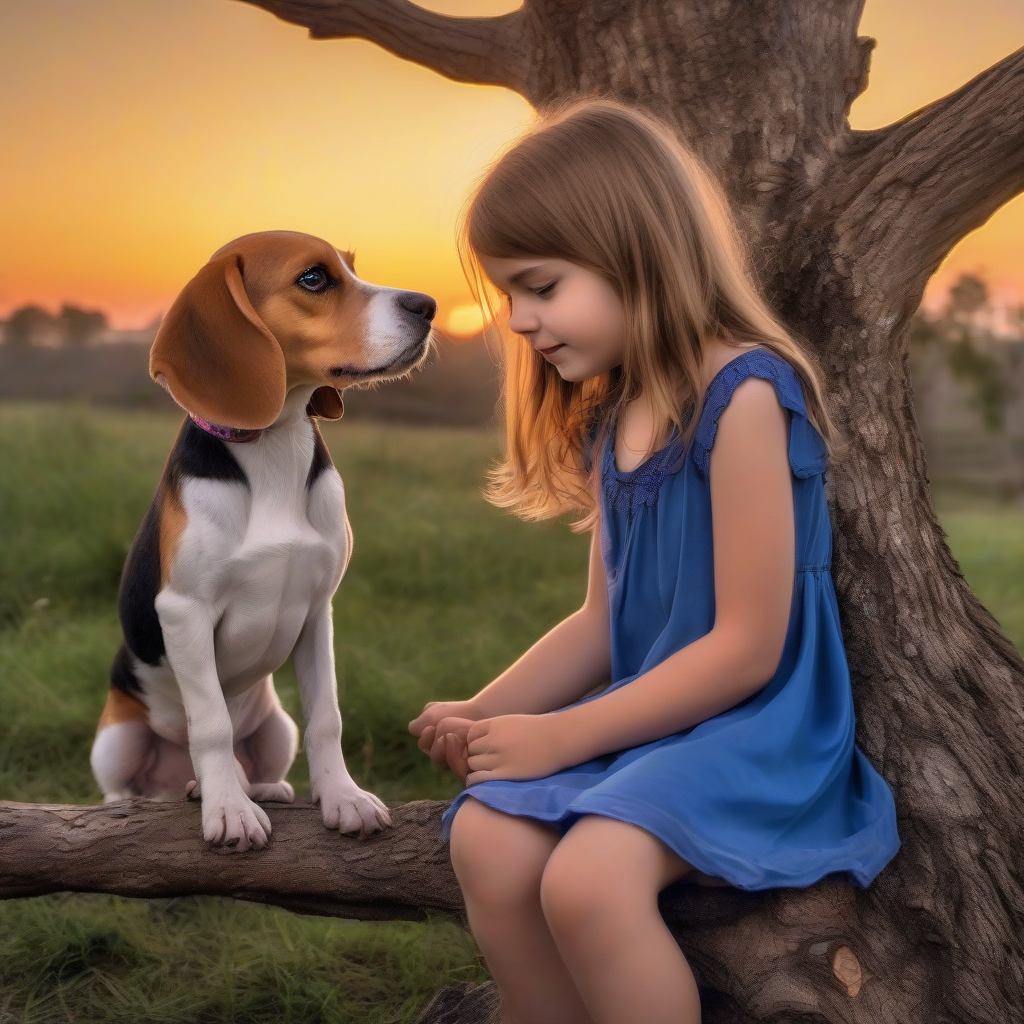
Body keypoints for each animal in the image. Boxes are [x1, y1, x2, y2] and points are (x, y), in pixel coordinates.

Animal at [89, 230, 436, 847]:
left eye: (352, 267)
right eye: (314, 278)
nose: (429, 306)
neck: (273, 440)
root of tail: (172, 784)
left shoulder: (318, 608)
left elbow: (327, 717)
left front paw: (343, 798)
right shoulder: (184, 609)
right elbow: (211, 723)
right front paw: (229, 810)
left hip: (278, 727)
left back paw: (257, 788)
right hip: (116, 736)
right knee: (125, 785)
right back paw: (176, 796)